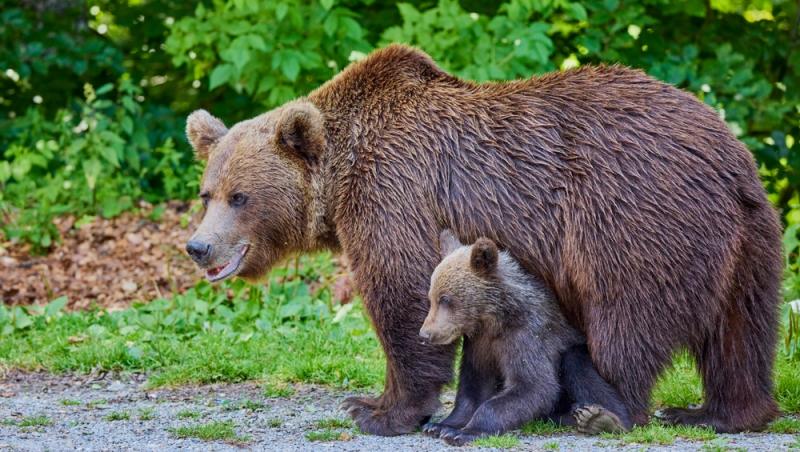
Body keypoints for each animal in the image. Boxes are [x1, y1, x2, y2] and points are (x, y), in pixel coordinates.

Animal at [183, 45, 780, 434]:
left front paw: (380, 411)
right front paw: (373, 403)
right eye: (207, 193)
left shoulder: (395, 193)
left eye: (241, 197)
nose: (198, 247)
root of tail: (729, 154)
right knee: (740, 331)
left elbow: (401, 293)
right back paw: (718, 413)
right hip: (748, 238)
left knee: (623, 320)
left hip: (632, 219)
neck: (341, 174)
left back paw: (605, 411)